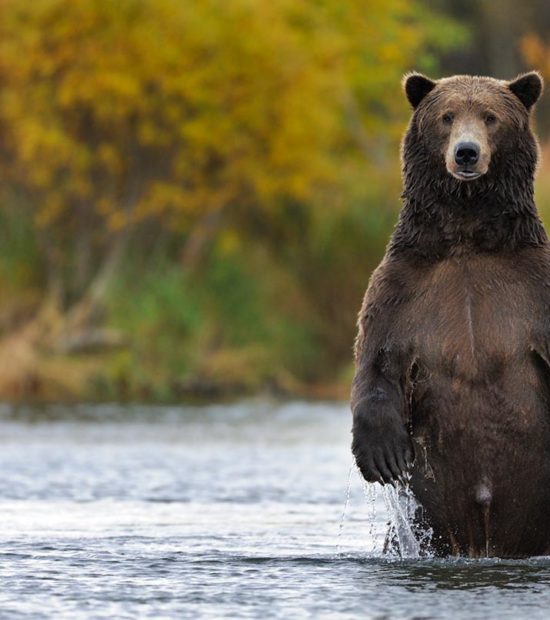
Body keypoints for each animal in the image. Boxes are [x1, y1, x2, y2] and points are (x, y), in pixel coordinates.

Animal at [352, 71, 550, 556]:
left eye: (491, 116)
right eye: (446, 116)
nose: (466, 152)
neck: (467, 235)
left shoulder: (534, 287)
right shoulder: (403, 290)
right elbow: (376, 360)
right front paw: (383, 455)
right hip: (422, 525)